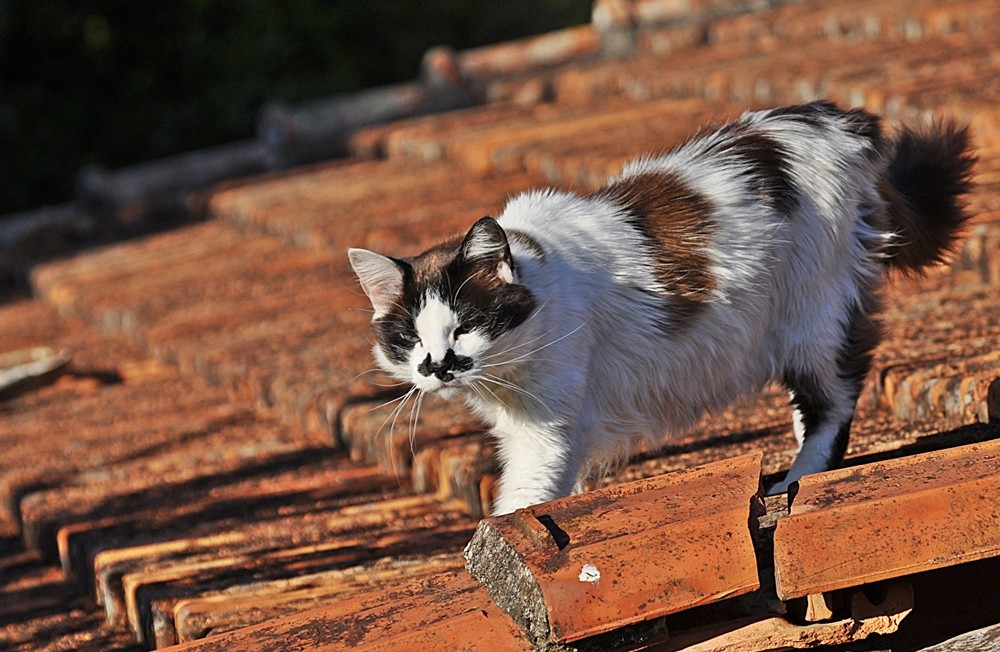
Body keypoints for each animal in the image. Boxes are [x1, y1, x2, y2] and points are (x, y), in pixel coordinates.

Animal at [348, 100, 972, 516]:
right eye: (410, 341)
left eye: (467, 326)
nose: (437, 367)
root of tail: (840, 121)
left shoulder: (545, 430)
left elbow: (522, 502)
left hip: (810, 320)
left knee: (834, 402)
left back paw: (794, 482)